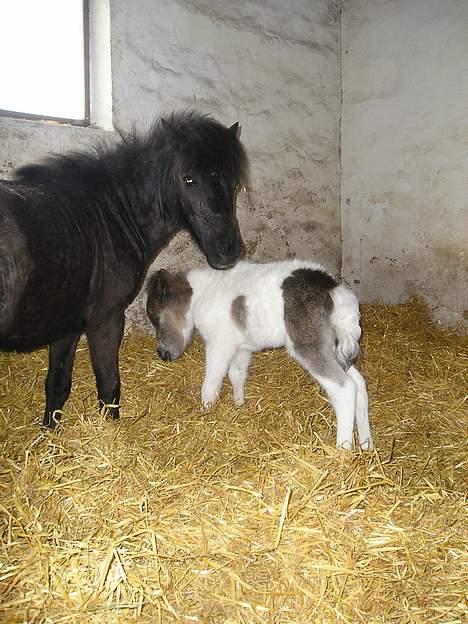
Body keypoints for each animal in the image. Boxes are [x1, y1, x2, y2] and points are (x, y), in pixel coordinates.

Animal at [0, 109, 249, 426]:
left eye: (234, 183)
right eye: (188, 178)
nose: (228, 251)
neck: (107, 215)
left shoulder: (66, 327)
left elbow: (57, 386)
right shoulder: (106, 320)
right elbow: (109, 386)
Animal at [146, 260, 372, 450]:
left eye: (156, 318)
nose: (163, 354)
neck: (201, 295)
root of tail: (333, 290)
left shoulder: (219, 344)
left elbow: (211, 383)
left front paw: (205, 413)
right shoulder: (241, 348)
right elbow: (236, 375)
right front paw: (239, 406)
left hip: (309, 346)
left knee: (344, 388)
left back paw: (342, 449)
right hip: (334, 348)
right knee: (359, 384)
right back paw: (367, 444)